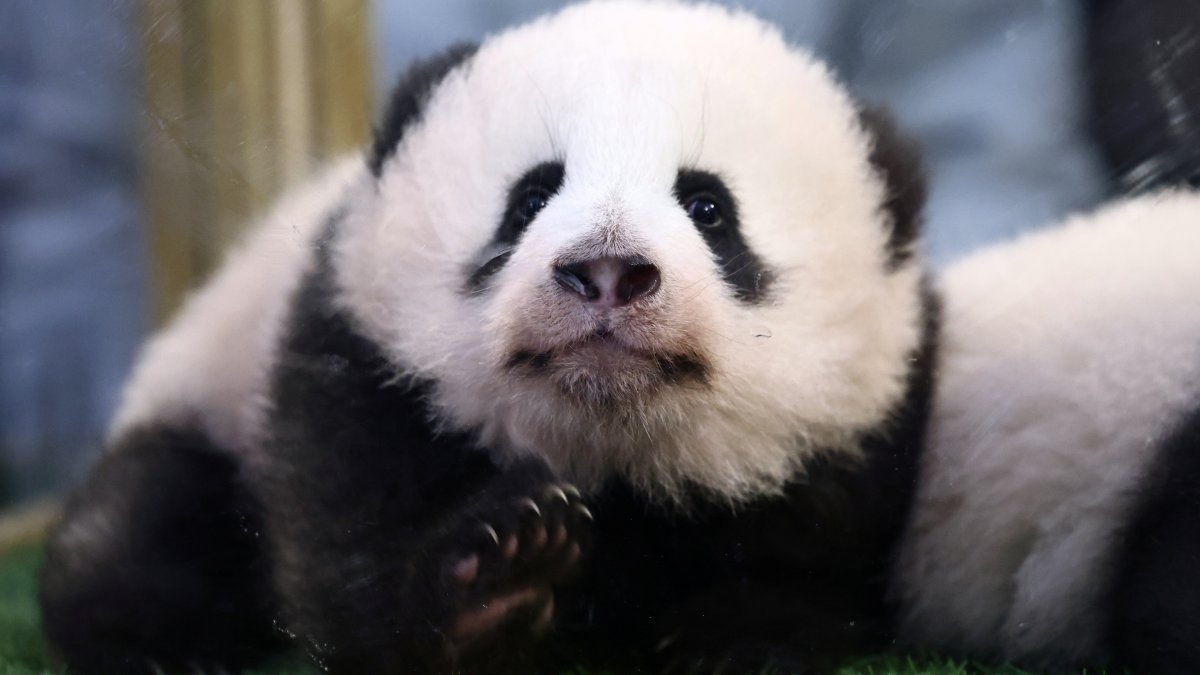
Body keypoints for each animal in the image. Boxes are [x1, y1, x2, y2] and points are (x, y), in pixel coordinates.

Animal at [39, 2, 935, 674]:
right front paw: (502, 575)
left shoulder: (863, 413)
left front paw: (739, 639)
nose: (606, 269)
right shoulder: (357, 348)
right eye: (531, 197)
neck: (610, 450)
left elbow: (821, 540)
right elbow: (345, 540)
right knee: (143, 512)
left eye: (709, 207)